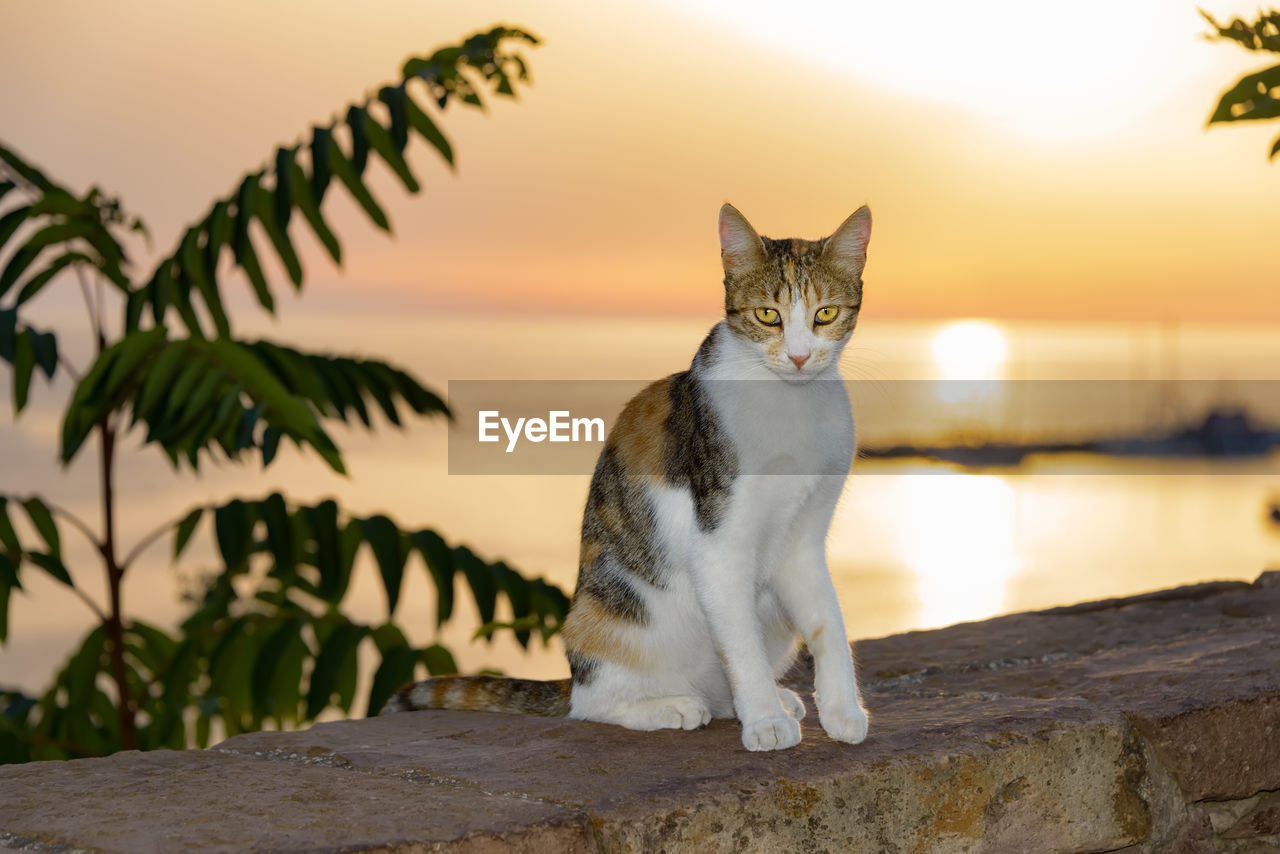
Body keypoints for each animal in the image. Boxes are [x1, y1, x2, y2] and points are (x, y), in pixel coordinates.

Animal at [384, 203, 875, 752]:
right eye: (767, 315)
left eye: (825, 314)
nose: (798, 357)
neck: (790, 403)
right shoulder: (719, 538)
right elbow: (741, 644)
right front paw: (765, 721)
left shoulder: (804, 540)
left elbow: (828, 623)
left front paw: (842, 710)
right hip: (611, 619)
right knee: (592, 703)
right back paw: (674, 706)